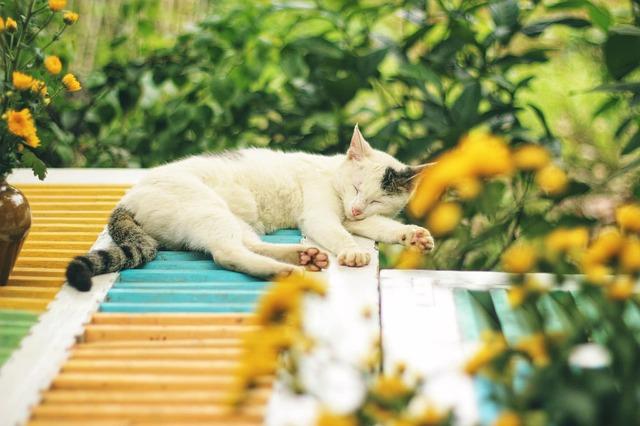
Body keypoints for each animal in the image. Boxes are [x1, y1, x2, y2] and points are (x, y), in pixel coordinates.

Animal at [66, 125, 436, 292]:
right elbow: (338, 233)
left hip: (232, 220)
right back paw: (284, 271)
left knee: (247, 245)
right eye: (356, 187)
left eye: (376, 199)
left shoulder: (358, 220)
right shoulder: (321, 215)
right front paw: (353, 252)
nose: (358, 208)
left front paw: (413, 236)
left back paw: (301, 257)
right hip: (209, 210)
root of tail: (127, 199)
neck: (333, 176)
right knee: (226, 253)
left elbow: (382, 227)